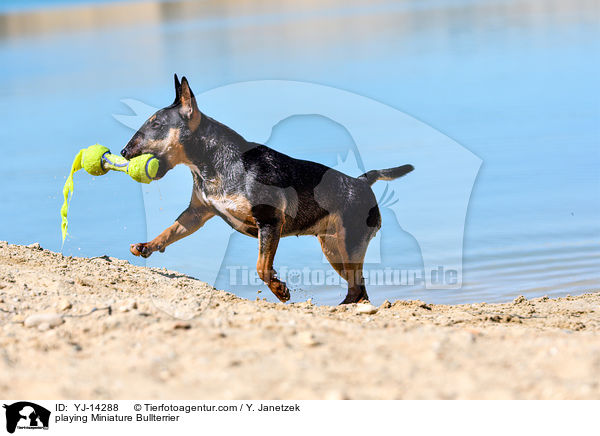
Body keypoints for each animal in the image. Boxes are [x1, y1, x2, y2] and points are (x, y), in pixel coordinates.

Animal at [122, 74, 412, 304]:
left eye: (156, 124)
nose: (124, 151)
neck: (212, 161)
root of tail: (361, 181)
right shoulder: (197, 213)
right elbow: (170, 231)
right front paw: (146, 246)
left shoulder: (270, 221)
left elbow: (262, 266)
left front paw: (279, 290)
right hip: (333, 248)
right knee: (358, 287)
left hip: (349, 244)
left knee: (358, 286)